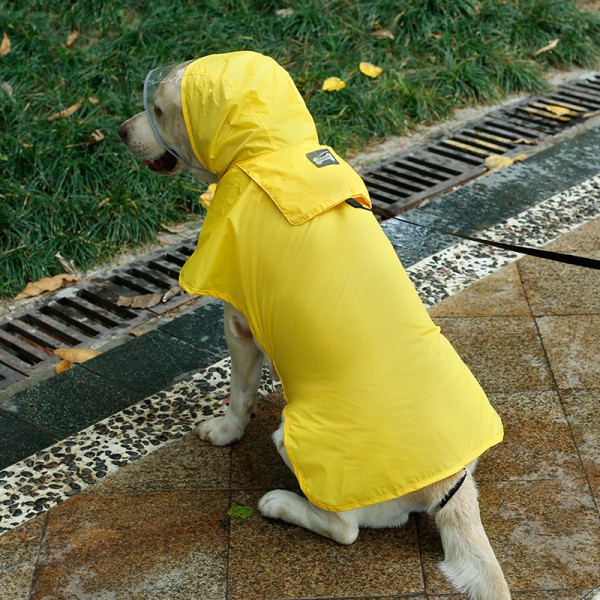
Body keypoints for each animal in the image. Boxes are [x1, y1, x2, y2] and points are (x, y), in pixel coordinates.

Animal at [118, 52, 510, 600]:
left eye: (156, 109)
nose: (119, 131)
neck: (273, 149)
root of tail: (446, 486)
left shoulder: (239, 324)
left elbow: (239, 393)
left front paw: (225, 430)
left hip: (295, 438)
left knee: (344, 529)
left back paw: (280, 503)